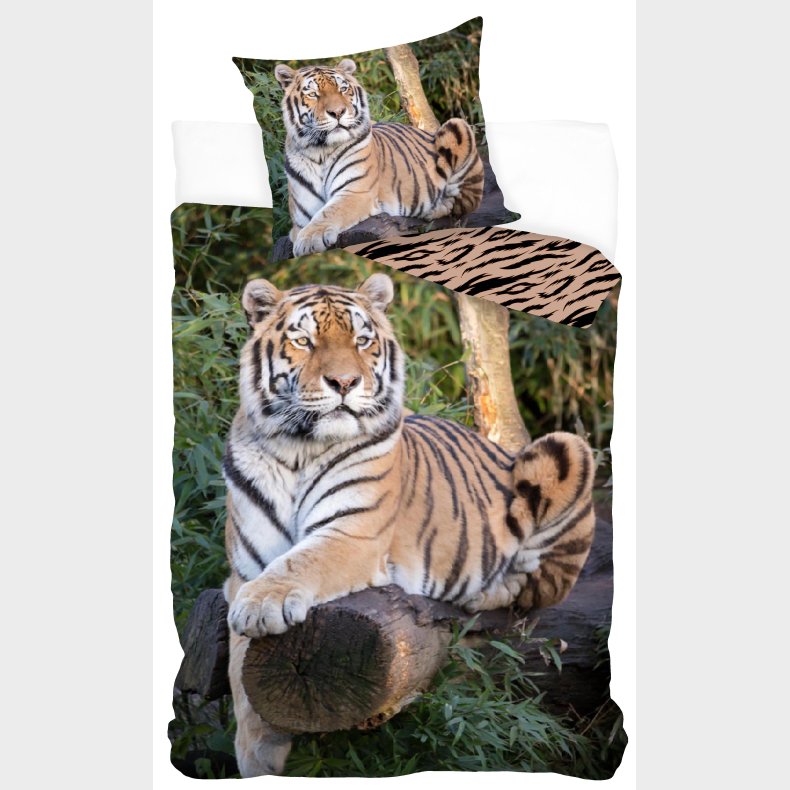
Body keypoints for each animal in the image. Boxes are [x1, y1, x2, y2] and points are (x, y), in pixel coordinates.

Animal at [223, 273, 596, 777]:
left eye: (362, 341)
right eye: (304, 341)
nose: (345, 382)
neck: (298, 448)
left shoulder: (352, 534)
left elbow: (299, 564)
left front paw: (262, 605)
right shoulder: (241, 570)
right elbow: (238, 668)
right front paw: (256, 753)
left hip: (566, 448)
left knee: (537, 588)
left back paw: (482, 593)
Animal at [274, 59, 485, 257]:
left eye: (343, 89)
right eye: (313, 94)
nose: (338, 112)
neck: (320, 151)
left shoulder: (355, 192)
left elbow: (328, 212)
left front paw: (309, 241)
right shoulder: (301, 216)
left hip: (458, 126)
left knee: (462, 206)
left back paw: (434, 209)